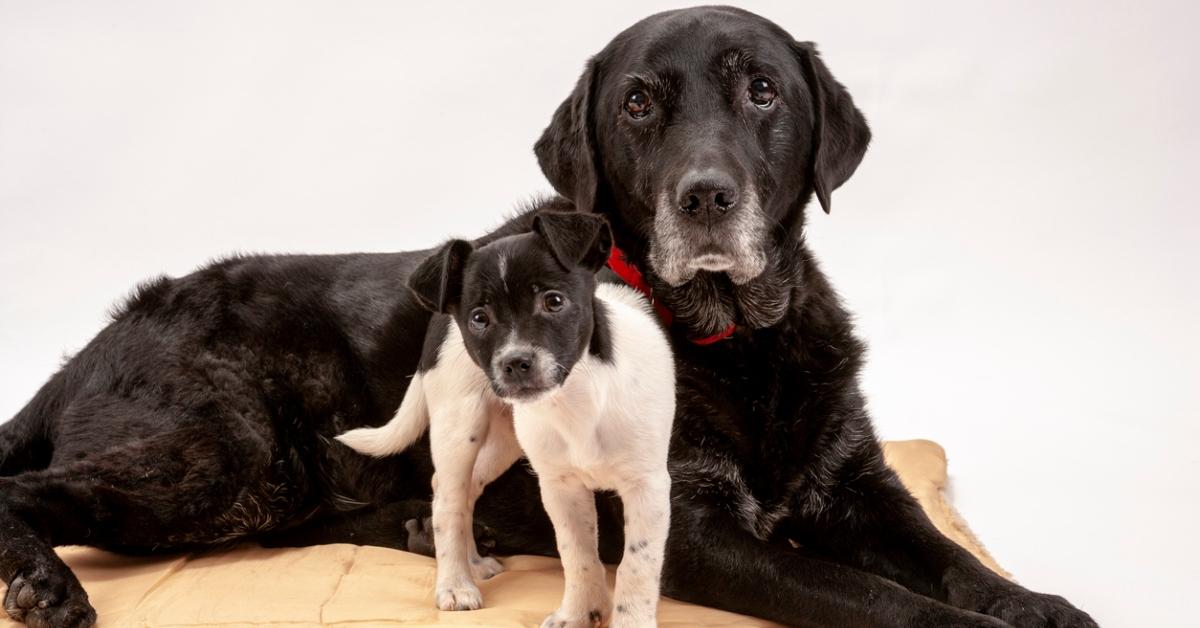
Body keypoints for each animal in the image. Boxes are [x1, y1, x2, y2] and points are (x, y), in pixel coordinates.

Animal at [338, 212, 676, 628]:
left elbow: (635, 565)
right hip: (459, 426)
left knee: (466, 490)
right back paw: (456, 584)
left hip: (504, 440)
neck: (577, 399)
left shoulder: (647, 488)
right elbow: (577, 556)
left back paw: (473, 563)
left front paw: (614, 618)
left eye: (554, 301)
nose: (515, 363)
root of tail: (439, 318)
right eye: (479, 319)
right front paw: (579, 613)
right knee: (447, 499)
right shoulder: (560, 487)